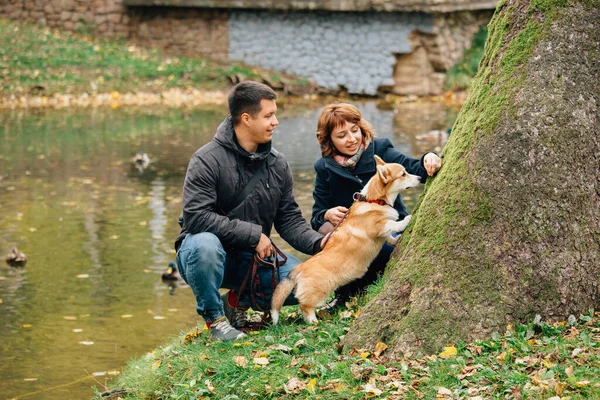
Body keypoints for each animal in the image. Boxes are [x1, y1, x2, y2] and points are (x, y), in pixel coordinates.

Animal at [272, 155, 422, 324]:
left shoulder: (382, 233)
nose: (420, 178)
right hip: (319, 290)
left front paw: (396, 240)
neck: (374, 200)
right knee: (305, 306)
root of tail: (300, 268)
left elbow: (389, 237)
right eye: (403, 174)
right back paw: (314, 322)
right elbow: (391, 224)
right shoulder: (377, 227)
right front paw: (406, 220)